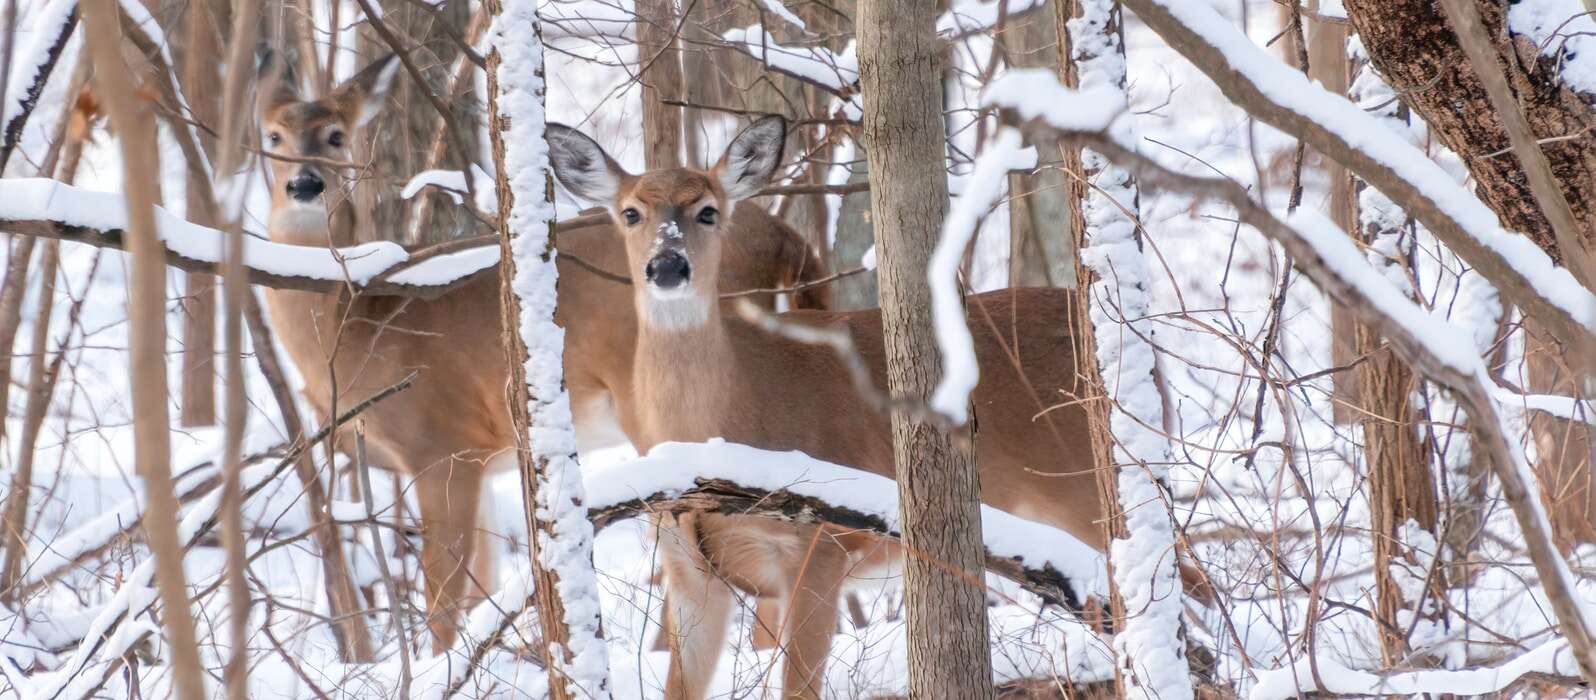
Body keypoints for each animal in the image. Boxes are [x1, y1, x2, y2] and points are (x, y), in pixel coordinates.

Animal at [255, 54, 831, 652]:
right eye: (272, 134)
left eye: (336, 136)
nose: (304, 183)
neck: (357, 320)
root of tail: (791, 240)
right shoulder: (480, 462)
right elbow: (480, 584)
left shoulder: (440, 444)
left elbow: (445, 598)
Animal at [546, 115, 1212, 699]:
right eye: (631, 212)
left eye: (707, 209)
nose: (667, 266)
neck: (722, 425)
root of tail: (1145, 354)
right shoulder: (690, 574)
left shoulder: (821, 546)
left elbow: (800, 689)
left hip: (1091, 490)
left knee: (1185, 594)